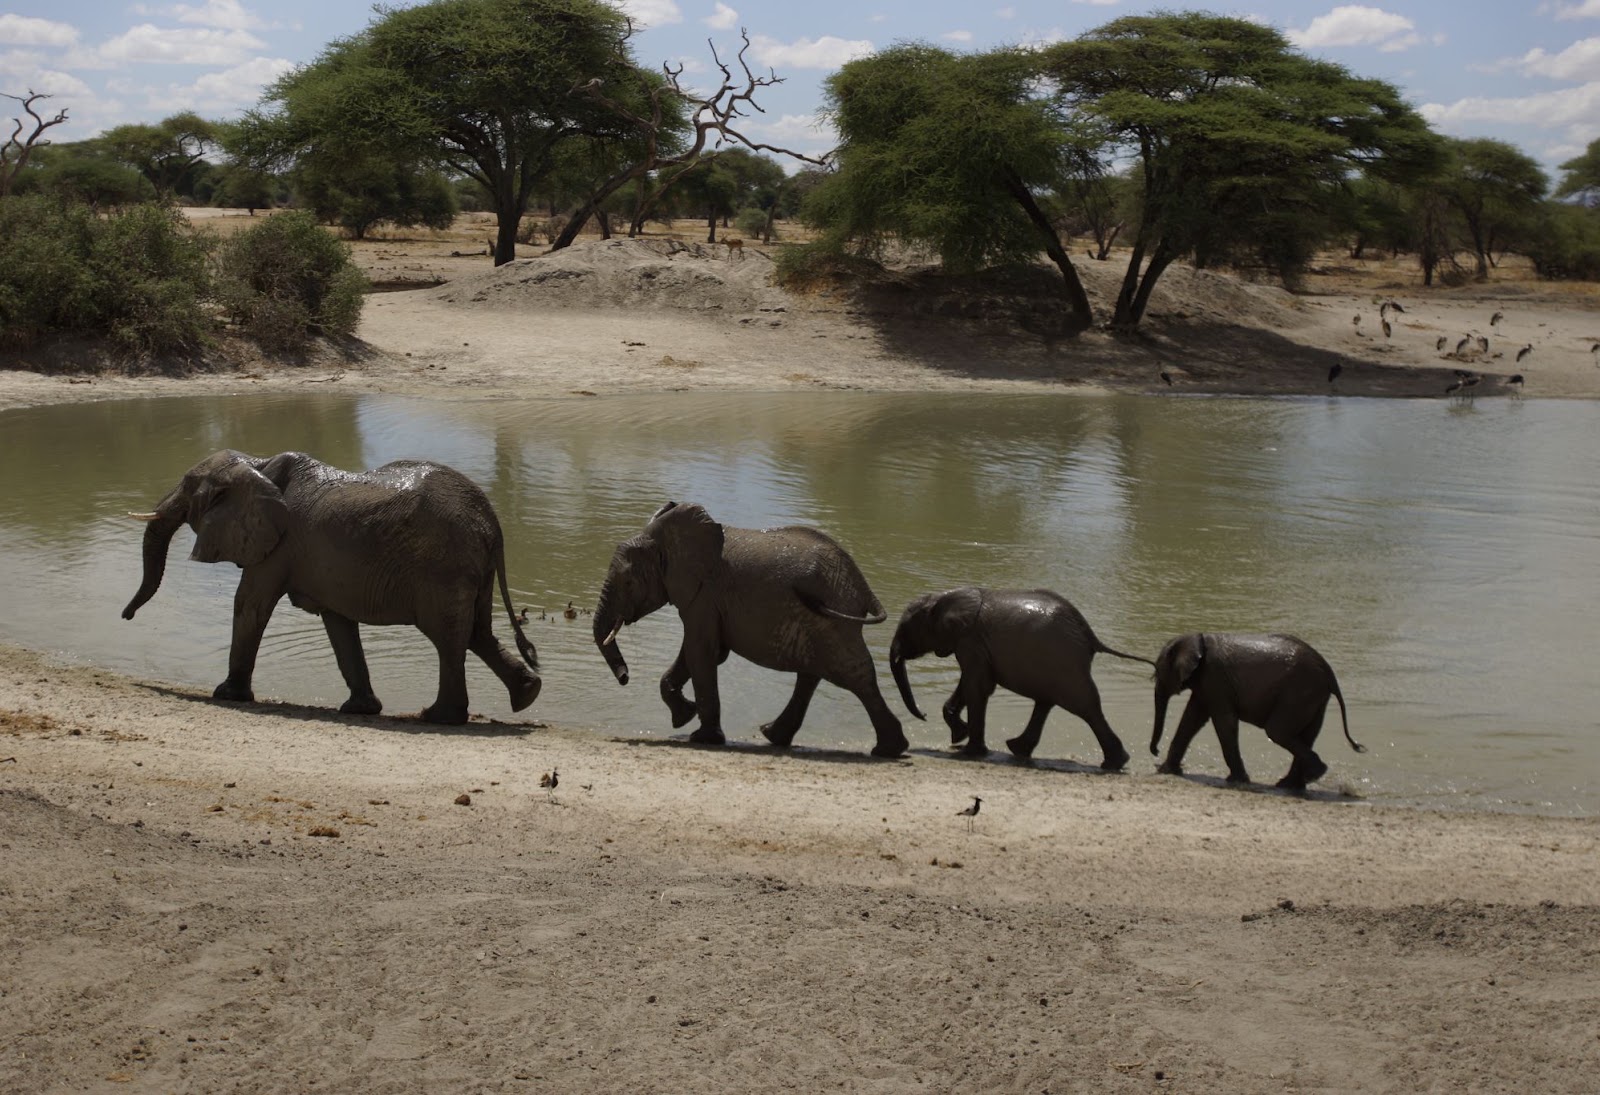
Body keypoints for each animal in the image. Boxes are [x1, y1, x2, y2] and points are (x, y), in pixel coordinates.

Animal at [121, 449, 541, 724]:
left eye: (188, 487)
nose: (126, 616)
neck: (257, 466)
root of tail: (492, 523)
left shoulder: (279, 546)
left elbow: (251, 605)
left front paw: (226, 695)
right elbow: (338, 623)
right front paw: (360, 710)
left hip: (444, 567)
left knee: (449, 637)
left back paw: (437, 717)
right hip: (470, 569)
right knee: (476, 632)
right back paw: (526, 695)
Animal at [592, 501, 908, 758]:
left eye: (628, 583)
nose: (625, 677)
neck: (662, 537)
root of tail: (863, 585)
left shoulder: (705, 594)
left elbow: (700, 652)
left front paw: (702, 737)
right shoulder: (706, 599)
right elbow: (701, 652)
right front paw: (684, 717)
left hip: (833, 619)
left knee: (854, 674)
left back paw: (888, 750)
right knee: (813, 674)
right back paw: (774, 736)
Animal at [889, 587, 1152, 769]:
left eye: (905, 628)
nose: (924, 715)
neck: (943, 597)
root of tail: (1090, 635)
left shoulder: (971, 641)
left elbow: (977, 685)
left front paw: (969, 751)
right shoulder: (974, 645)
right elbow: (972, 682)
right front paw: (959, 735)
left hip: (1065, 664)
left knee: (1085, 708)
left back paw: (1113, 763)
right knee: (1047, 702)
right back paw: (1018, 750)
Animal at [1150, 632, 1366, 791]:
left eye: (1157, 674)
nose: (1155, 751)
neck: (1196, 639)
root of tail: (1330, 674)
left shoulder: (1215, 678)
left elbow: (1223, 721)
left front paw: (1238, 780)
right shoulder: (1205, 684)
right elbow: (1192, 718)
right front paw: (1167, 771)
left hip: (1300, 693)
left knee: (1277, 732)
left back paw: (1312, 775)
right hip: (1315, 698)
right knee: (1305, 735)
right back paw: (1292, 784)